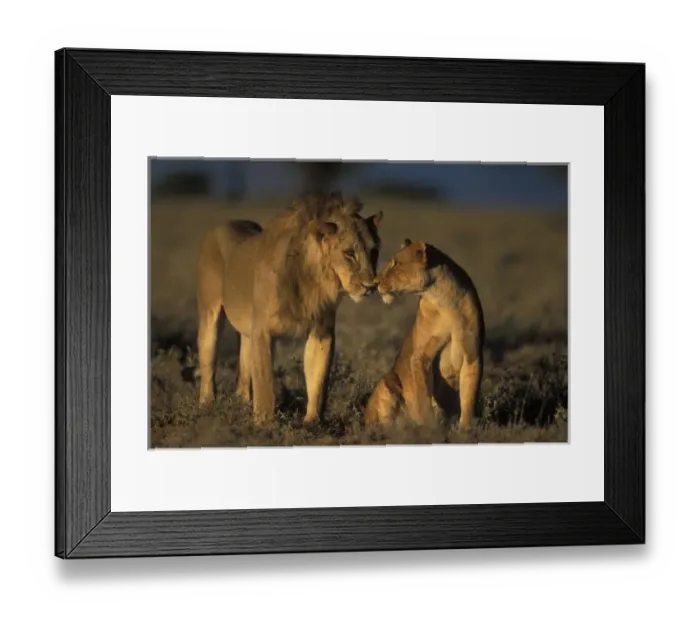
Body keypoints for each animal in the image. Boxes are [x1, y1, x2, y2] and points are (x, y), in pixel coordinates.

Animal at [195, 192, 383, 426]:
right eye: (349, 253)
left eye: (374, 251)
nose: (371, 285)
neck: (314, 281)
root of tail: (222, 224)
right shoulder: (262, 330)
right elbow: (265, 382)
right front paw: (264, 424)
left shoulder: (321, 331)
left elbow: (318, 378)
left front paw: (313, 423)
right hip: (210, 315)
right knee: (208, 362)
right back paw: (207, 406)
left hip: (246, 331)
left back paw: (242, 404)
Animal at [363, 238, 485, 430]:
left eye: (395, 264)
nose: (374, 283)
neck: (445, 301)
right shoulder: (420, 355)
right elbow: (422, 398)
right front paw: (429, 429)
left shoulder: (473, 355)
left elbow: (469, 396)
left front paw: (465, 429)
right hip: (386, 382)